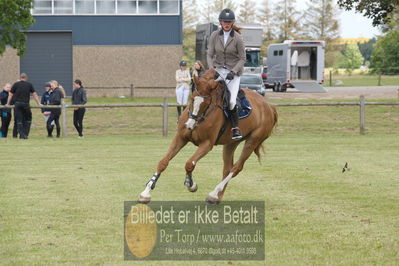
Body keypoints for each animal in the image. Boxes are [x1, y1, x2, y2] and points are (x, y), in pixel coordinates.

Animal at [140, 68, 278, 204]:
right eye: (192, 98)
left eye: (206, 103)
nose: (189, 125)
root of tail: (269, 106)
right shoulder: (180, 138)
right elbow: (163, 162)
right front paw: (146, 193)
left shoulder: (206, 144)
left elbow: (190, 164)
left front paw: (191, 184)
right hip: (231, 143)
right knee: (227, 168)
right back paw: (216, 197)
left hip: (253, 140)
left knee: (236, 168)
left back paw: (214, 193)